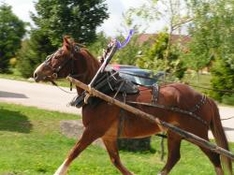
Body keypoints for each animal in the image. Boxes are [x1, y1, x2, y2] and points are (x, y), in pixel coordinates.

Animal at [33, 36, 232, 174]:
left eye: (58, 55)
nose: (36, 73)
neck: (101, 90)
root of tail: (205, 97)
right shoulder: (108, 136)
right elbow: (116, 160)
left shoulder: (93, 130)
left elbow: (73, 152)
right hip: (175, 134)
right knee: (174, 158)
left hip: (197, 133)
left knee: (215, 156)